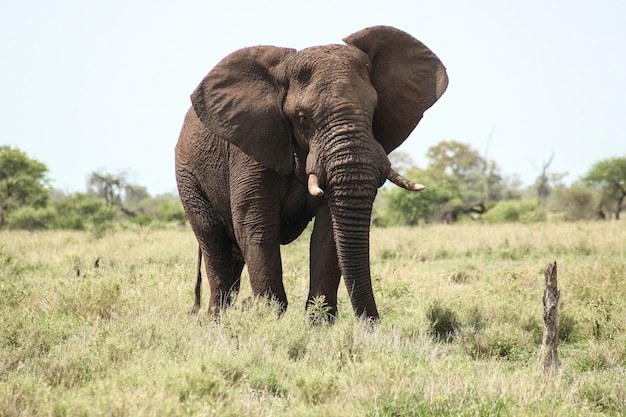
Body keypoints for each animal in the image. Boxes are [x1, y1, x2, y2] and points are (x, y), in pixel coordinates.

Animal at [176, 24, 446, 320]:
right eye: (302, 118)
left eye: (374, 111)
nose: (372, 325)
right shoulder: (251, 146)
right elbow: (256, 225)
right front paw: (271, 320)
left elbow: (328, 235)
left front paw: (318, 324)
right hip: (188, 176)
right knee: (215, 244)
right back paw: (216, 321)